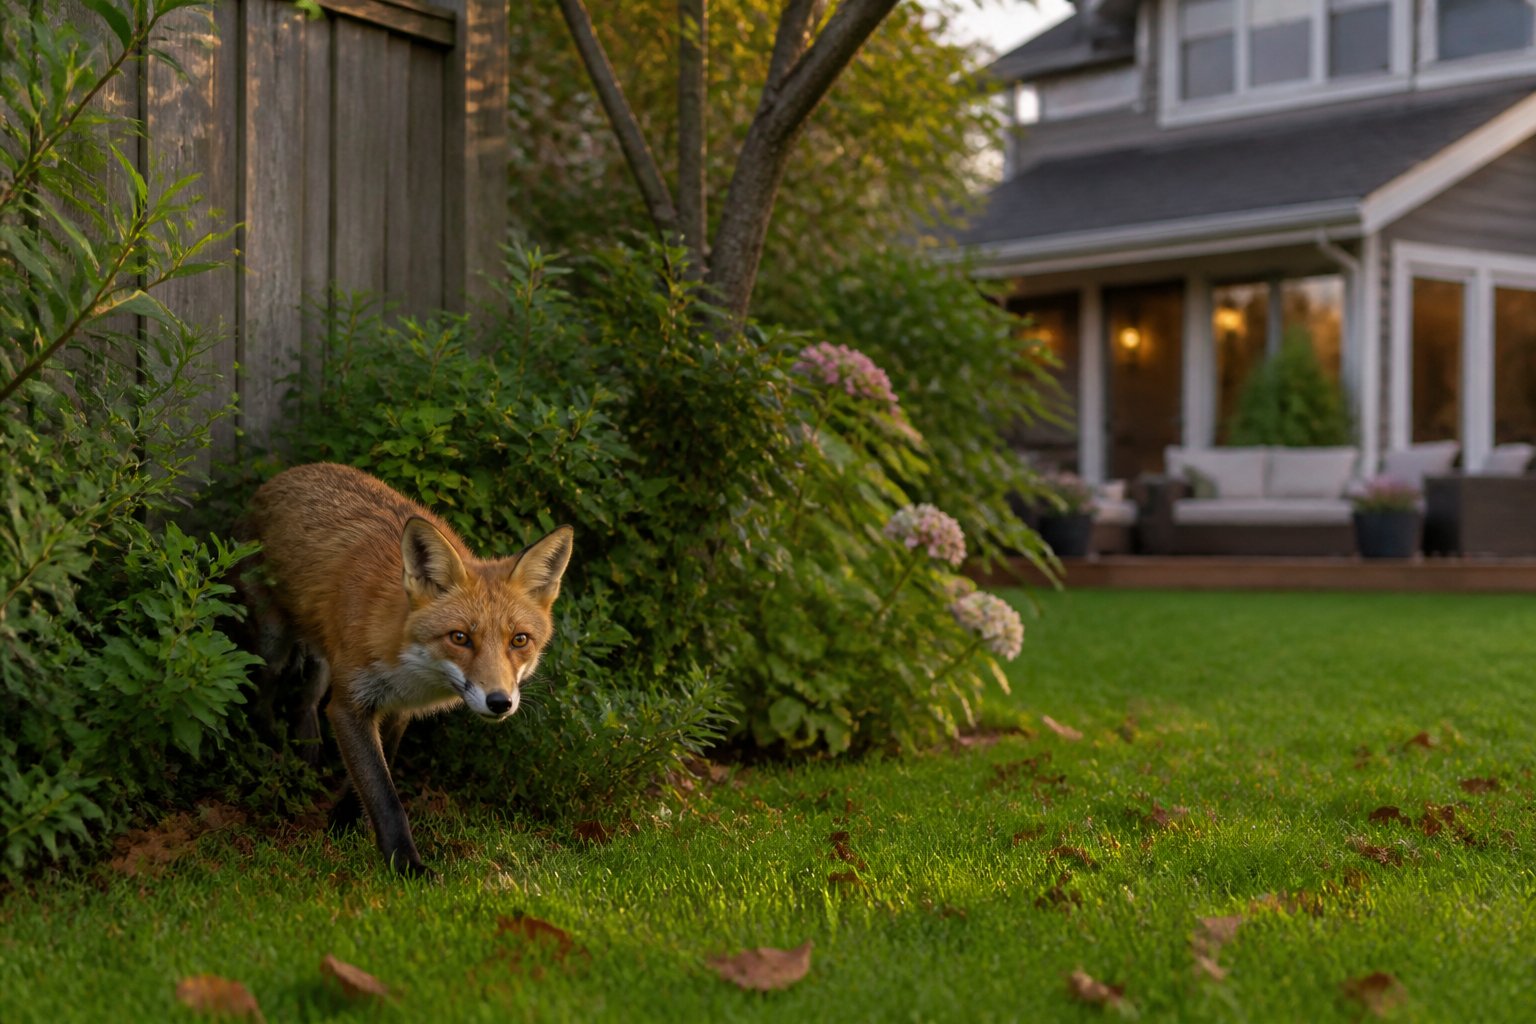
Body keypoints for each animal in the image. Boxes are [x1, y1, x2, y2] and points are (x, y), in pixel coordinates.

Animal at [237, 462, 573, 877]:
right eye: (460, 637)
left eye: (520, 640)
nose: (499, 702)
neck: (411, 666)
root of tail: (290, 472)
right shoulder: (350, 704)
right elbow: (385, 796)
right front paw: (406, 866)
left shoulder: (398, 710)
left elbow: (371, 779)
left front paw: (341, 825)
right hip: (273, 648)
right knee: (259, 701)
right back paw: (271, 761)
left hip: (324, 661)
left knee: (306, 701)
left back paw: (307, 752)